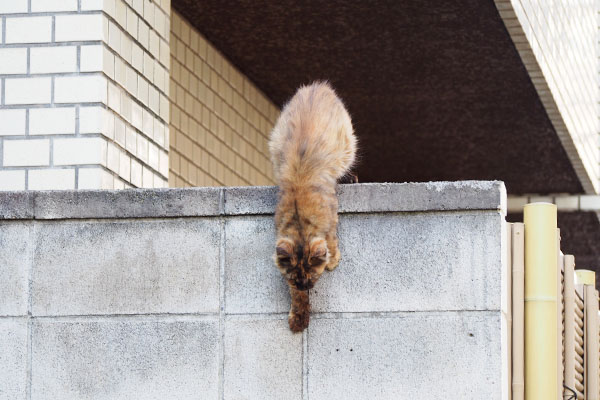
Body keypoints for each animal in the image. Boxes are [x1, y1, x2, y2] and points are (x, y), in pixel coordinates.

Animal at [268, 81, 356, 332]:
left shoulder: (331, 216)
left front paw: (333, 260)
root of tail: (318, 86)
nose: (306, 287)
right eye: (296, 280)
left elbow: (332, 240)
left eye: (313, 278)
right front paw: (299, 316)